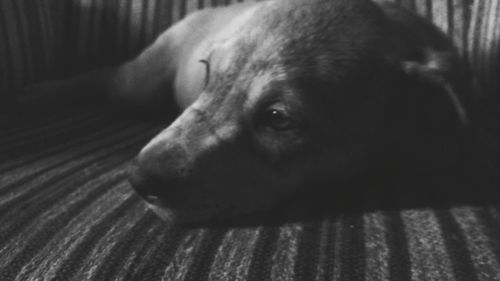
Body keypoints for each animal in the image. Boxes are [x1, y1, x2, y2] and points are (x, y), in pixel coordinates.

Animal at [20, 0, 468, 223]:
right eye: (207, 74)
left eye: (278, 118)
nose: (137, 178)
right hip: (135, 84)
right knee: (101, 77)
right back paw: (33, 94)